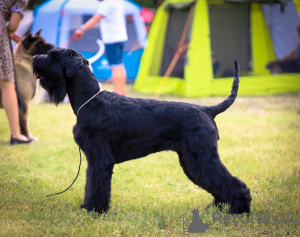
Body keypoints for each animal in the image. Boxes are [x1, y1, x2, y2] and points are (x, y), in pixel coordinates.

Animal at [32, 48, 252, 215]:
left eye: (54, 55)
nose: (34, 58)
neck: (91, 100)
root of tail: (207, 110)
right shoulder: (95, 158)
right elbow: (92, 185)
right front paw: (91, 208)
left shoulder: (100, 158)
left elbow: (95, 186)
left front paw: (93, 210)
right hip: (192, 162)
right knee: (217, 182)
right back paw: (216, 207)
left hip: (201, 158)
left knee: (232, 183)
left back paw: (238, 210)